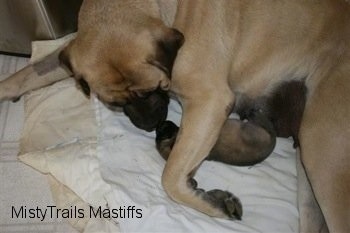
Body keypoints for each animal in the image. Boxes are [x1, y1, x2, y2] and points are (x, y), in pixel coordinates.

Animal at [0, 0, 350, 232]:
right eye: (115, 103)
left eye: (155, 89)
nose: (151, 124)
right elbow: (28, 74)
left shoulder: (209, 101)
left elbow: (170, 177)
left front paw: (211, 203)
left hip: (323, 153)